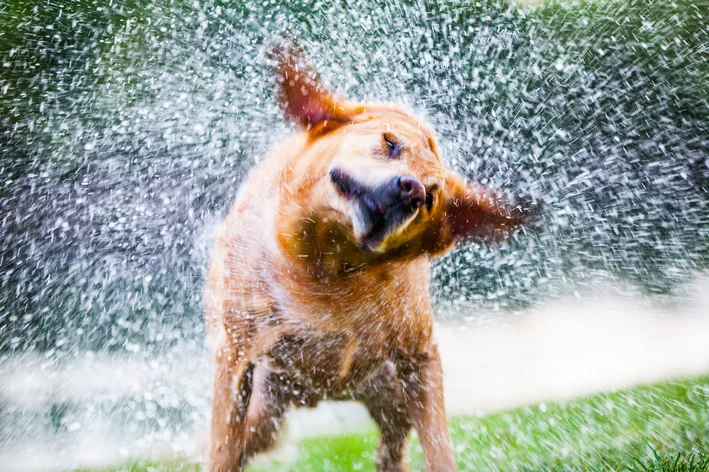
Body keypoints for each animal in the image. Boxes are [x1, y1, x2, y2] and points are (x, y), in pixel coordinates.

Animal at [202, 41, 528, 472]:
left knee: (393, 446)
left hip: (388, 394)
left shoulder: (420, 359)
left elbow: (439, 446)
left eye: (431, 198)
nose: (411, 190)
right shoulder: (236, 357)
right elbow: (222, 450)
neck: (326, 267)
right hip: (266, 407)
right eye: (390, 143)